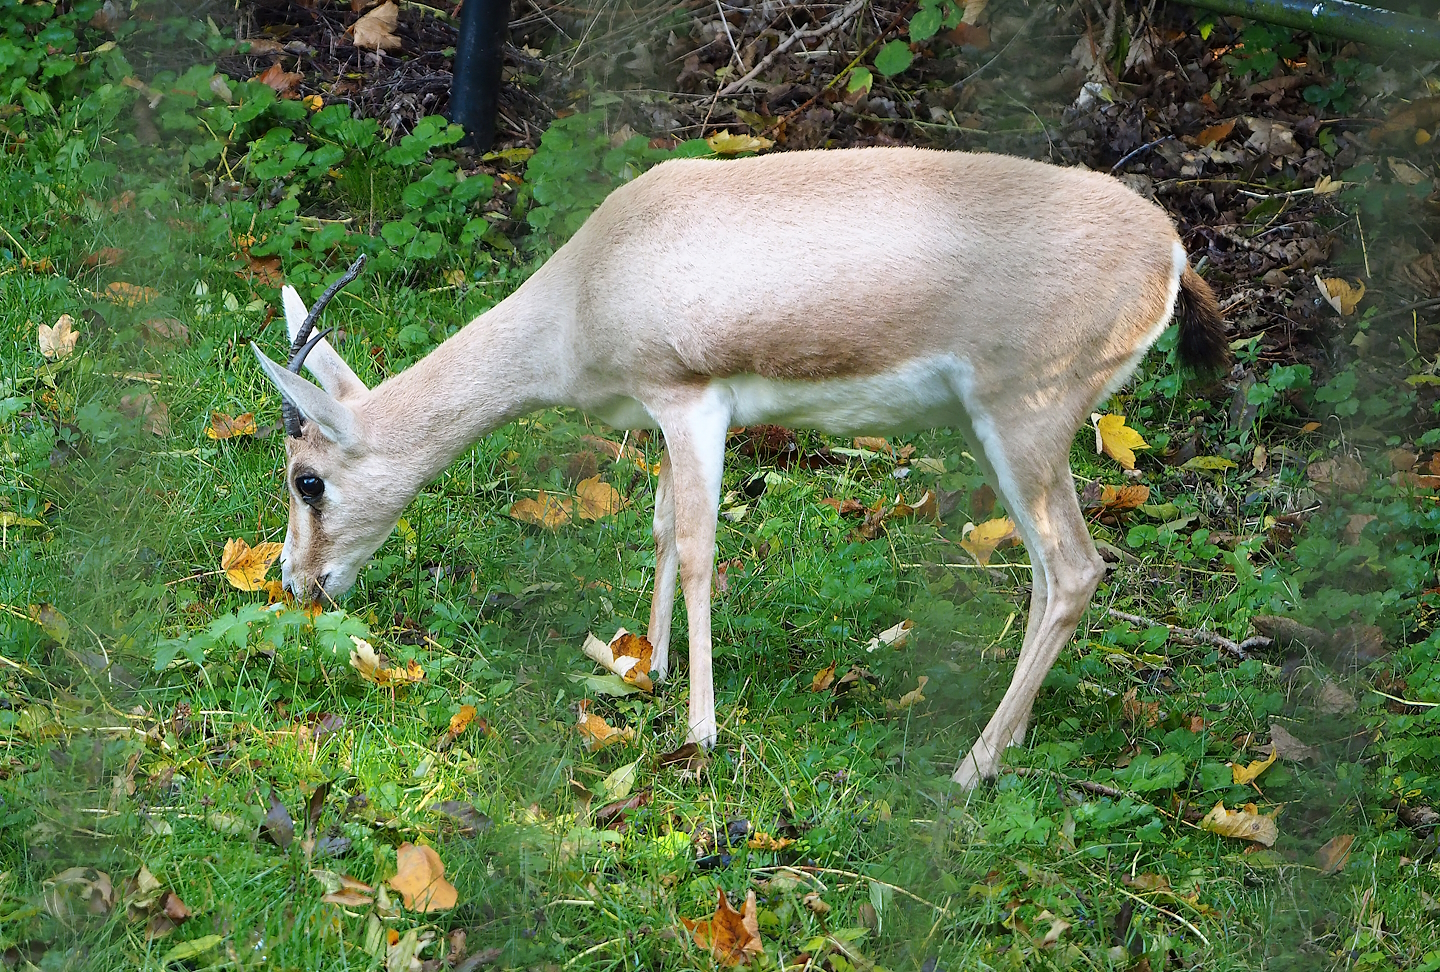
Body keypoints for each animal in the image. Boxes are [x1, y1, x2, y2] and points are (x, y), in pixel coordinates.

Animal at [252, 147, 1227, 788]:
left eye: (307, 478)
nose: (297, 582)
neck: (591, 283)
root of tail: (1169, 248)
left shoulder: (693, 405)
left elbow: (695, 550)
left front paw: (702, 731)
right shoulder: (662, 415)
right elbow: (656, 527)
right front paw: (642, 670)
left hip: (1023, 427)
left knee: (1074, 570)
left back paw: (969, 769)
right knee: (1052, 573)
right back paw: (1011, 741)